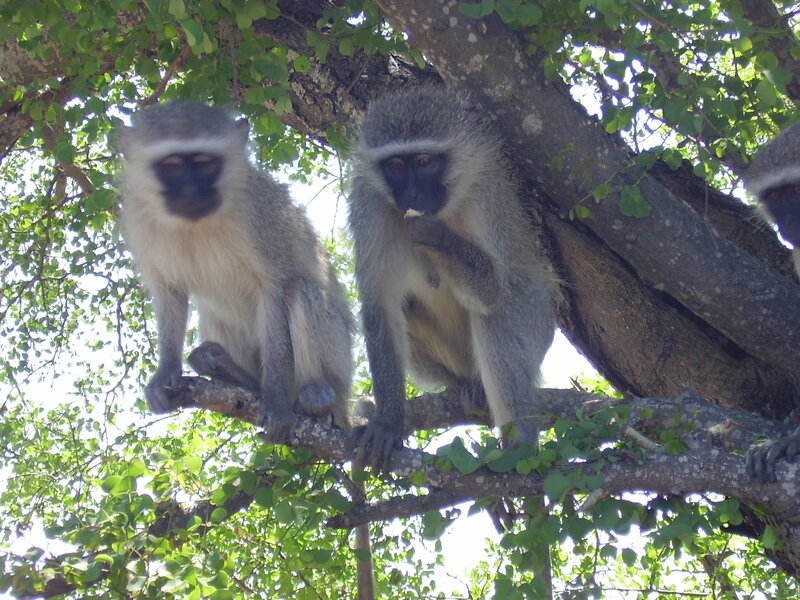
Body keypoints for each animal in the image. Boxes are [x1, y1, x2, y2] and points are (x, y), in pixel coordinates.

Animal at [117, 99, 353, 443]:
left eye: (204, 163)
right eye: (171, 165)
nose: (190, 192)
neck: (196, 224)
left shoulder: (262, 220)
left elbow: (275, 289)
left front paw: (276, 402)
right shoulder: (138, 221)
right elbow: (169, 291)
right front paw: (165, 372)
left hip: (339, 363)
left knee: (301, 290)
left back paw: (317, 398)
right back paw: (232, 372)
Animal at [347, 86, 557, 472]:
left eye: (424, 162)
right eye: (395, 165)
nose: (412, 195)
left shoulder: (487, 197)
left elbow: (493, 290)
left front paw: (438, 237)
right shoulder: (368, 203)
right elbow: (380, 305)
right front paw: (387, 422)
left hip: (539, 328)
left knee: (498, 318)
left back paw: (520, 447)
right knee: (407, 308)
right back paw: (463, 385)